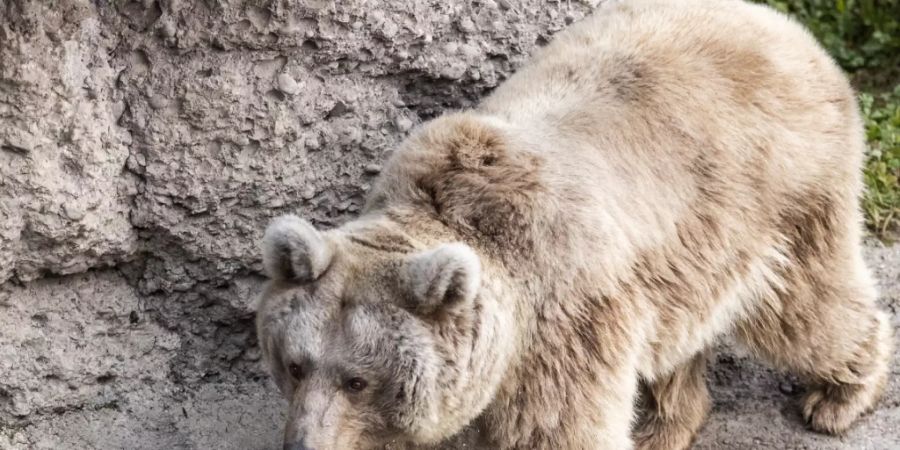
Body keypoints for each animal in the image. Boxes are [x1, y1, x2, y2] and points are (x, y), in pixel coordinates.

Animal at [253, 0, 892, 450]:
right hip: (688, 253)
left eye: (357, 380)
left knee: (804, 307)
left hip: (776, 191)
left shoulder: (561, 320)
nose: (301, 443)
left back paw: (840, 395)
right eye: (295, 363)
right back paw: (663, 426)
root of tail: (785, 27)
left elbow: (556, 426)